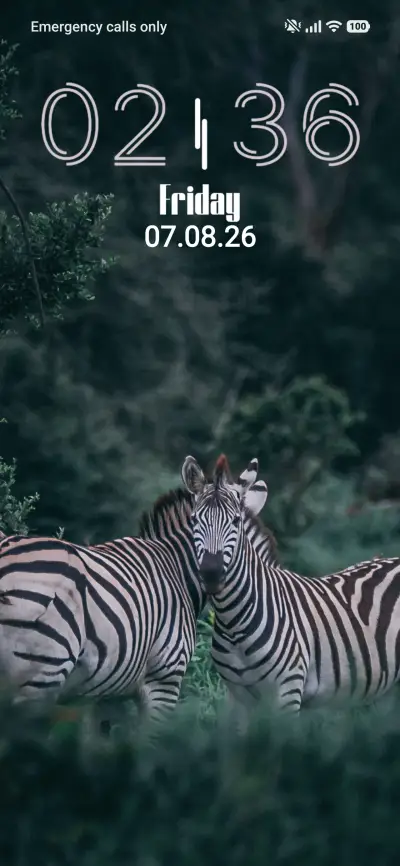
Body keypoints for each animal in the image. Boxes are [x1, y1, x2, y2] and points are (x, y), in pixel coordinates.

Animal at [0, 461, 268, 728]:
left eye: (235, 522)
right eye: (194, 520)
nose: (211, 573)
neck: (177, 569)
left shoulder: (107, 693)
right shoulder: (164, 678)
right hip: (41, 673)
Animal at [181, 453, 400, 716]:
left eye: (235, 521)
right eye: (194, 520)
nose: (211, 574)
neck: (234, 623)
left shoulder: (288, 691)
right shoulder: (238, 697)